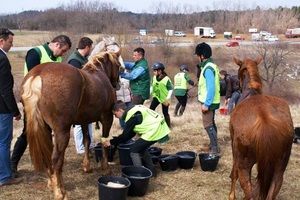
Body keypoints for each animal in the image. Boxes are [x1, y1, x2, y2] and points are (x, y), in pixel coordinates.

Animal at [20, 52, 121, 200]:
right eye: (118, 65)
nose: (117, 84)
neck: (98, 74)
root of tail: (39, 74)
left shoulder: (84, 121)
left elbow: (86, 141)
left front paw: (86, 166)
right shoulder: (107, 118)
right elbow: (104, 142)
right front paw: (106, 167)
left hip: (45, 129)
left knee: (48, 155)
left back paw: (52, 183)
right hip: (62, 132)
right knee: (56, 159)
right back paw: (59, 192)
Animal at [229, 57, 294, 199]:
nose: (237, 86)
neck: (251, 92)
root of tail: (265, 123)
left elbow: (234, 173)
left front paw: (231, 195)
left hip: (244, 165)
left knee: (248, 190)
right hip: (279, 169)